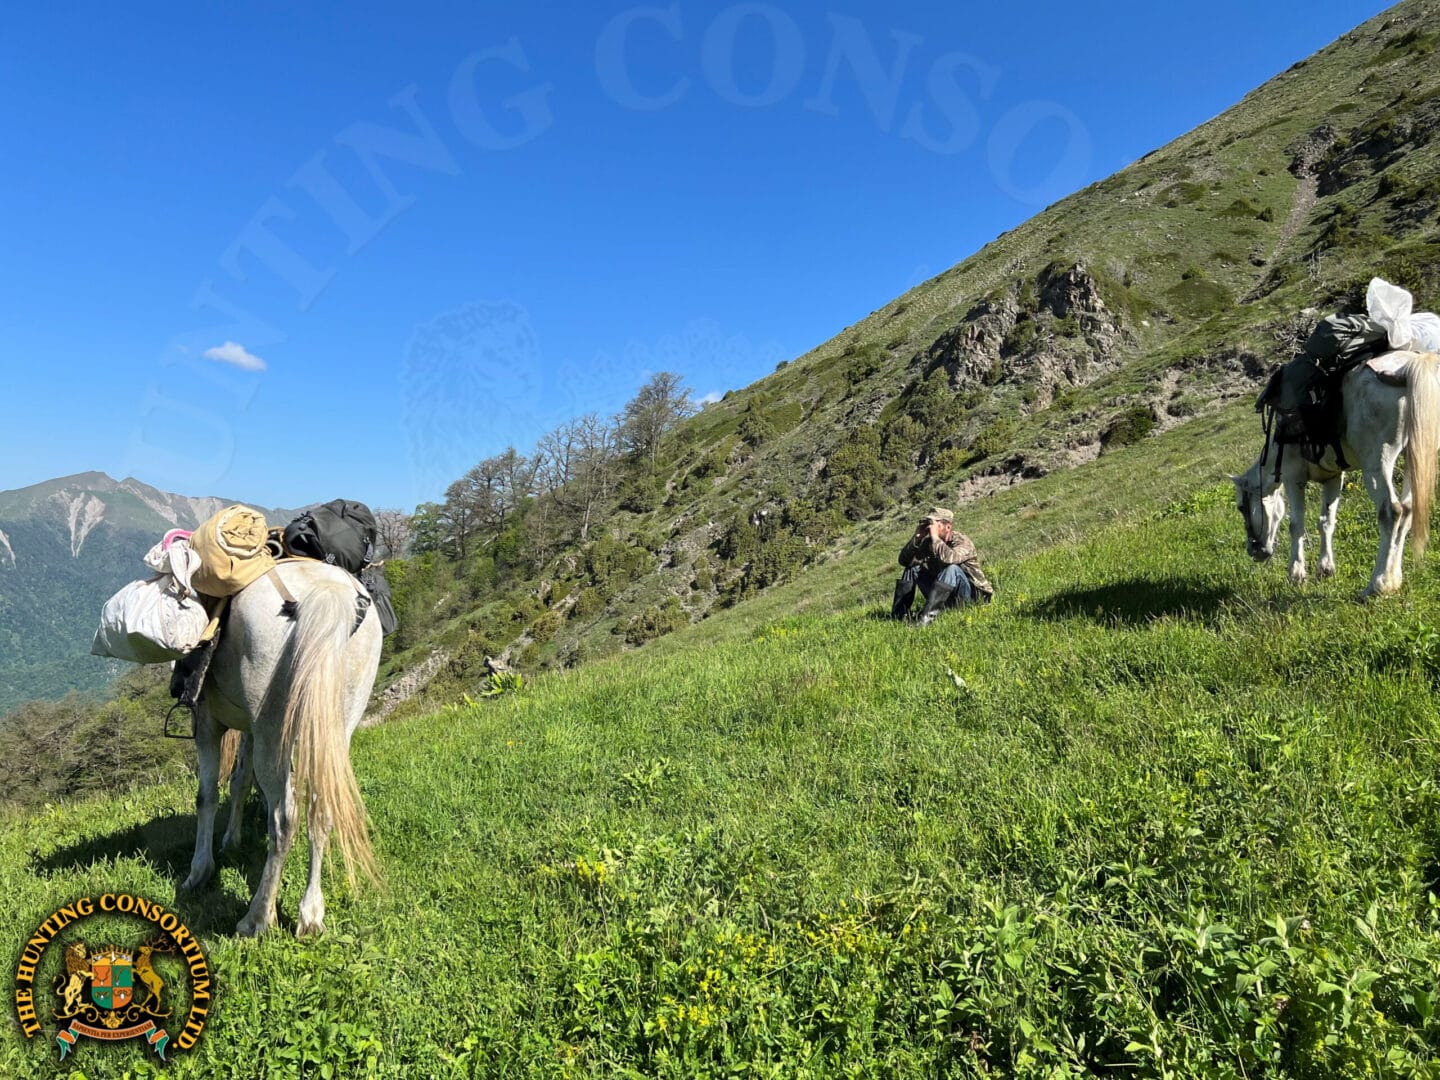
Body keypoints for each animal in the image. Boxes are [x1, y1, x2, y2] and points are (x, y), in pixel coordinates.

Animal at [179, 560, 382, 937]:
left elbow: (206, 796)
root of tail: (326, 593)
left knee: (285, 817)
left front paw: (199, 871)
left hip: (272, 728)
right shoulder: (250, 731)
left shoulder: (207, 725)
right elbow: (240, 781)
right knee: (321, 807)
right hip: (334, 726)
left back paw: (258, 917)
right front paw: (231, 841)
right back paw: (311, 914)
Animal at [1231, 350, 1440, 597]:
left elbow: (1296, 524)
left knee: (1392, 512)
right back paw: (1394, 579)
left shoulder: (1293, 478)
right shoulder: (1333, 478)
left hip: (1378, 462)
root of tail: (1408, 368)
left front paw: (1296, 574)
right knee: (1408, 509)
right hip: (1413, 455)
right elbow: (1326, 521)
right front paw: (1325, 569)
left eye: (1241, 507)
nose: (1255, 551)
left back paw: (1377, 584)